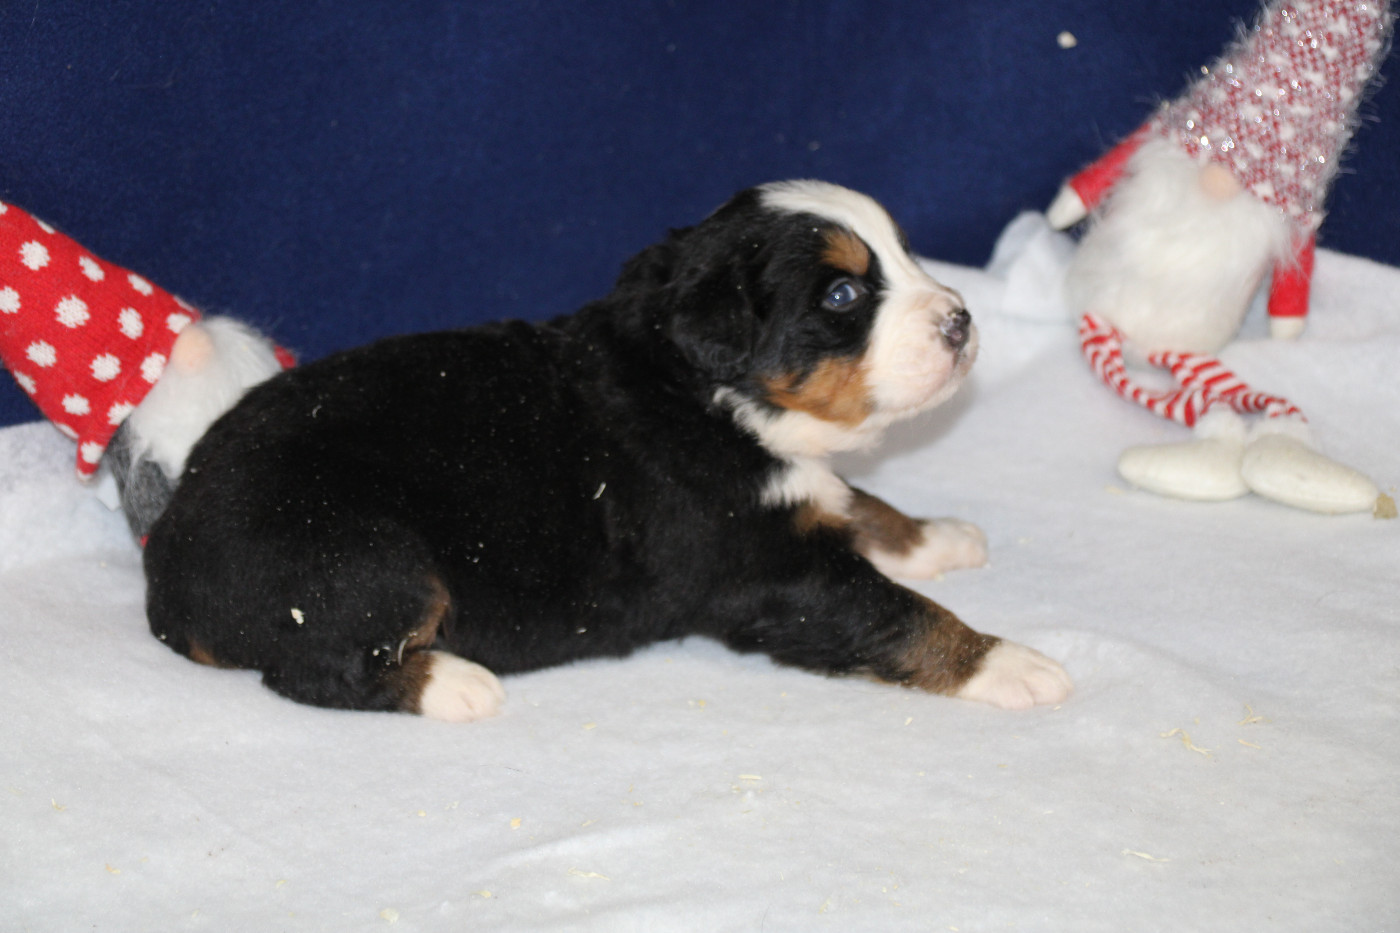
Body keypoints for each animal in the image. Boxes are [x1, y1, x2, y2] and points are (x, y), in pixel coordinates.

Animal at [143, 180, 1072, 721]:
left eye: (907, 254)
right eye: (844, 294)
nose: (961, 319)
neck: (706, 396)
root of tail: (168, 571)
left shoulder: (791, 505)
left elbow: (858, 504)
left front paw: (937, 535)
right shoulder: (768, 571)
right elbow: (895, 613)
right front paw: (1011, 661)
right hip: (366, 559)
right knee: (317, 670)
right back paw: (455, 681)